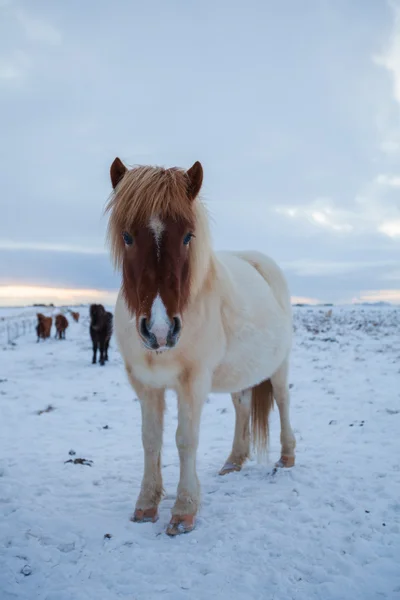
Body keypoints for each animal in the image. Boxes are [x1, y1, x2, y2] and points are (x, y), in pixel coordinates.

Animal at [104, 157, 296, 536]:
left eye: (187, 236)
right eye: (127, 236)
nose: (160, 330)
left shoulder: (193, 383)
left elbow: (185, 439)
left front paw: (184, 510)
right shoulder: (145, 384)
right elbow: (151, 439)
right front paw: (146, 504)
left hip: (279, 365)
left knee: (282, 400)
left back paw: (286, 456)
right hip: (240, 371)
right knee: (242, 406)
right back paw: (234, 461)